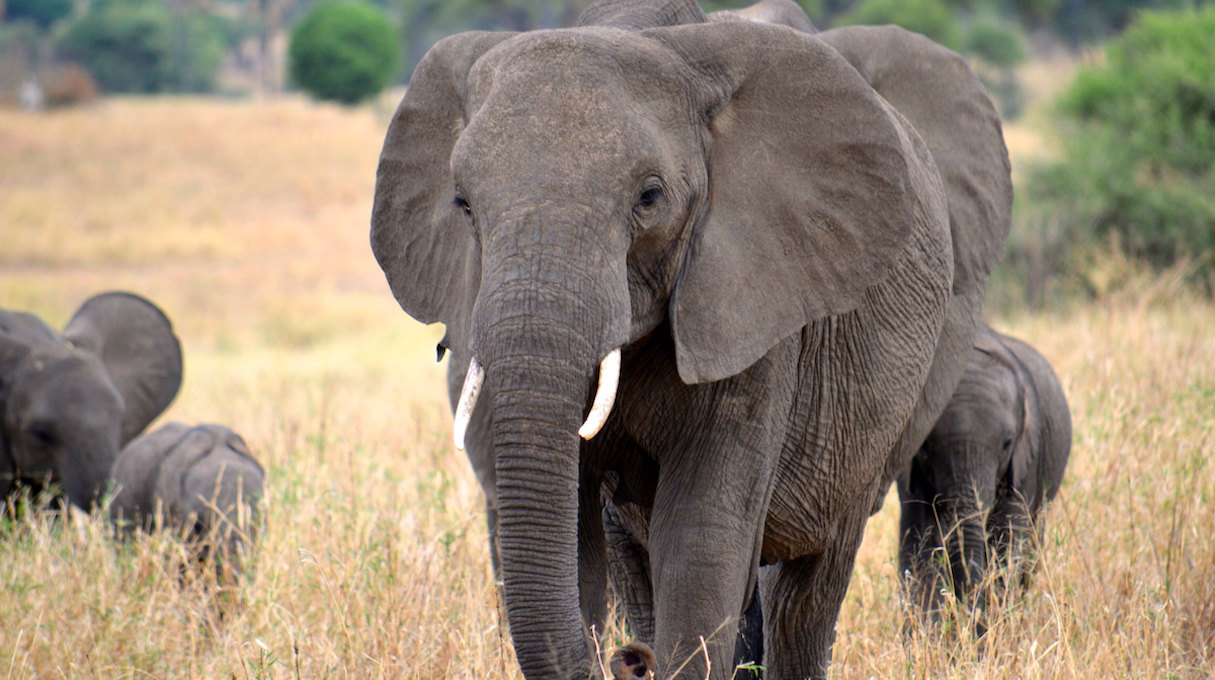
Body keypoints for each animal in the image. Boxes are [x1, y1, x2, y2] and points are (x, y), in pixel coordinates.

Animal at [369, 0, 1011, 677]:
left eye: (650, 197)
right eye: (463, 204)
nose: (627, 659)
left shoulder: (754, 294)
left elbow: (700, 533)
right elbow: (577, 529)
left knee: (807, 591)